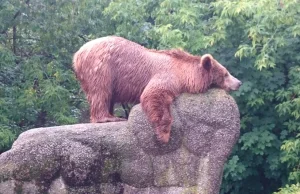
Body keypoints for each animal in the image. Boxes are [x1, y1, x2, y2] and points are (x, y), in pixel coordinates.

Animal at [72, 36, 241, 142]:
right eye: (225, 73)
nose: (238, 82)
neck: (184, 72)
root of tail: (77, 54)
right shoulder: (167, 76)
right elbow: (154, 95)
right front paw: (164, 135)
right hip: (102, 66)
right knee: (101, 91)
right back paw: (109, 117)